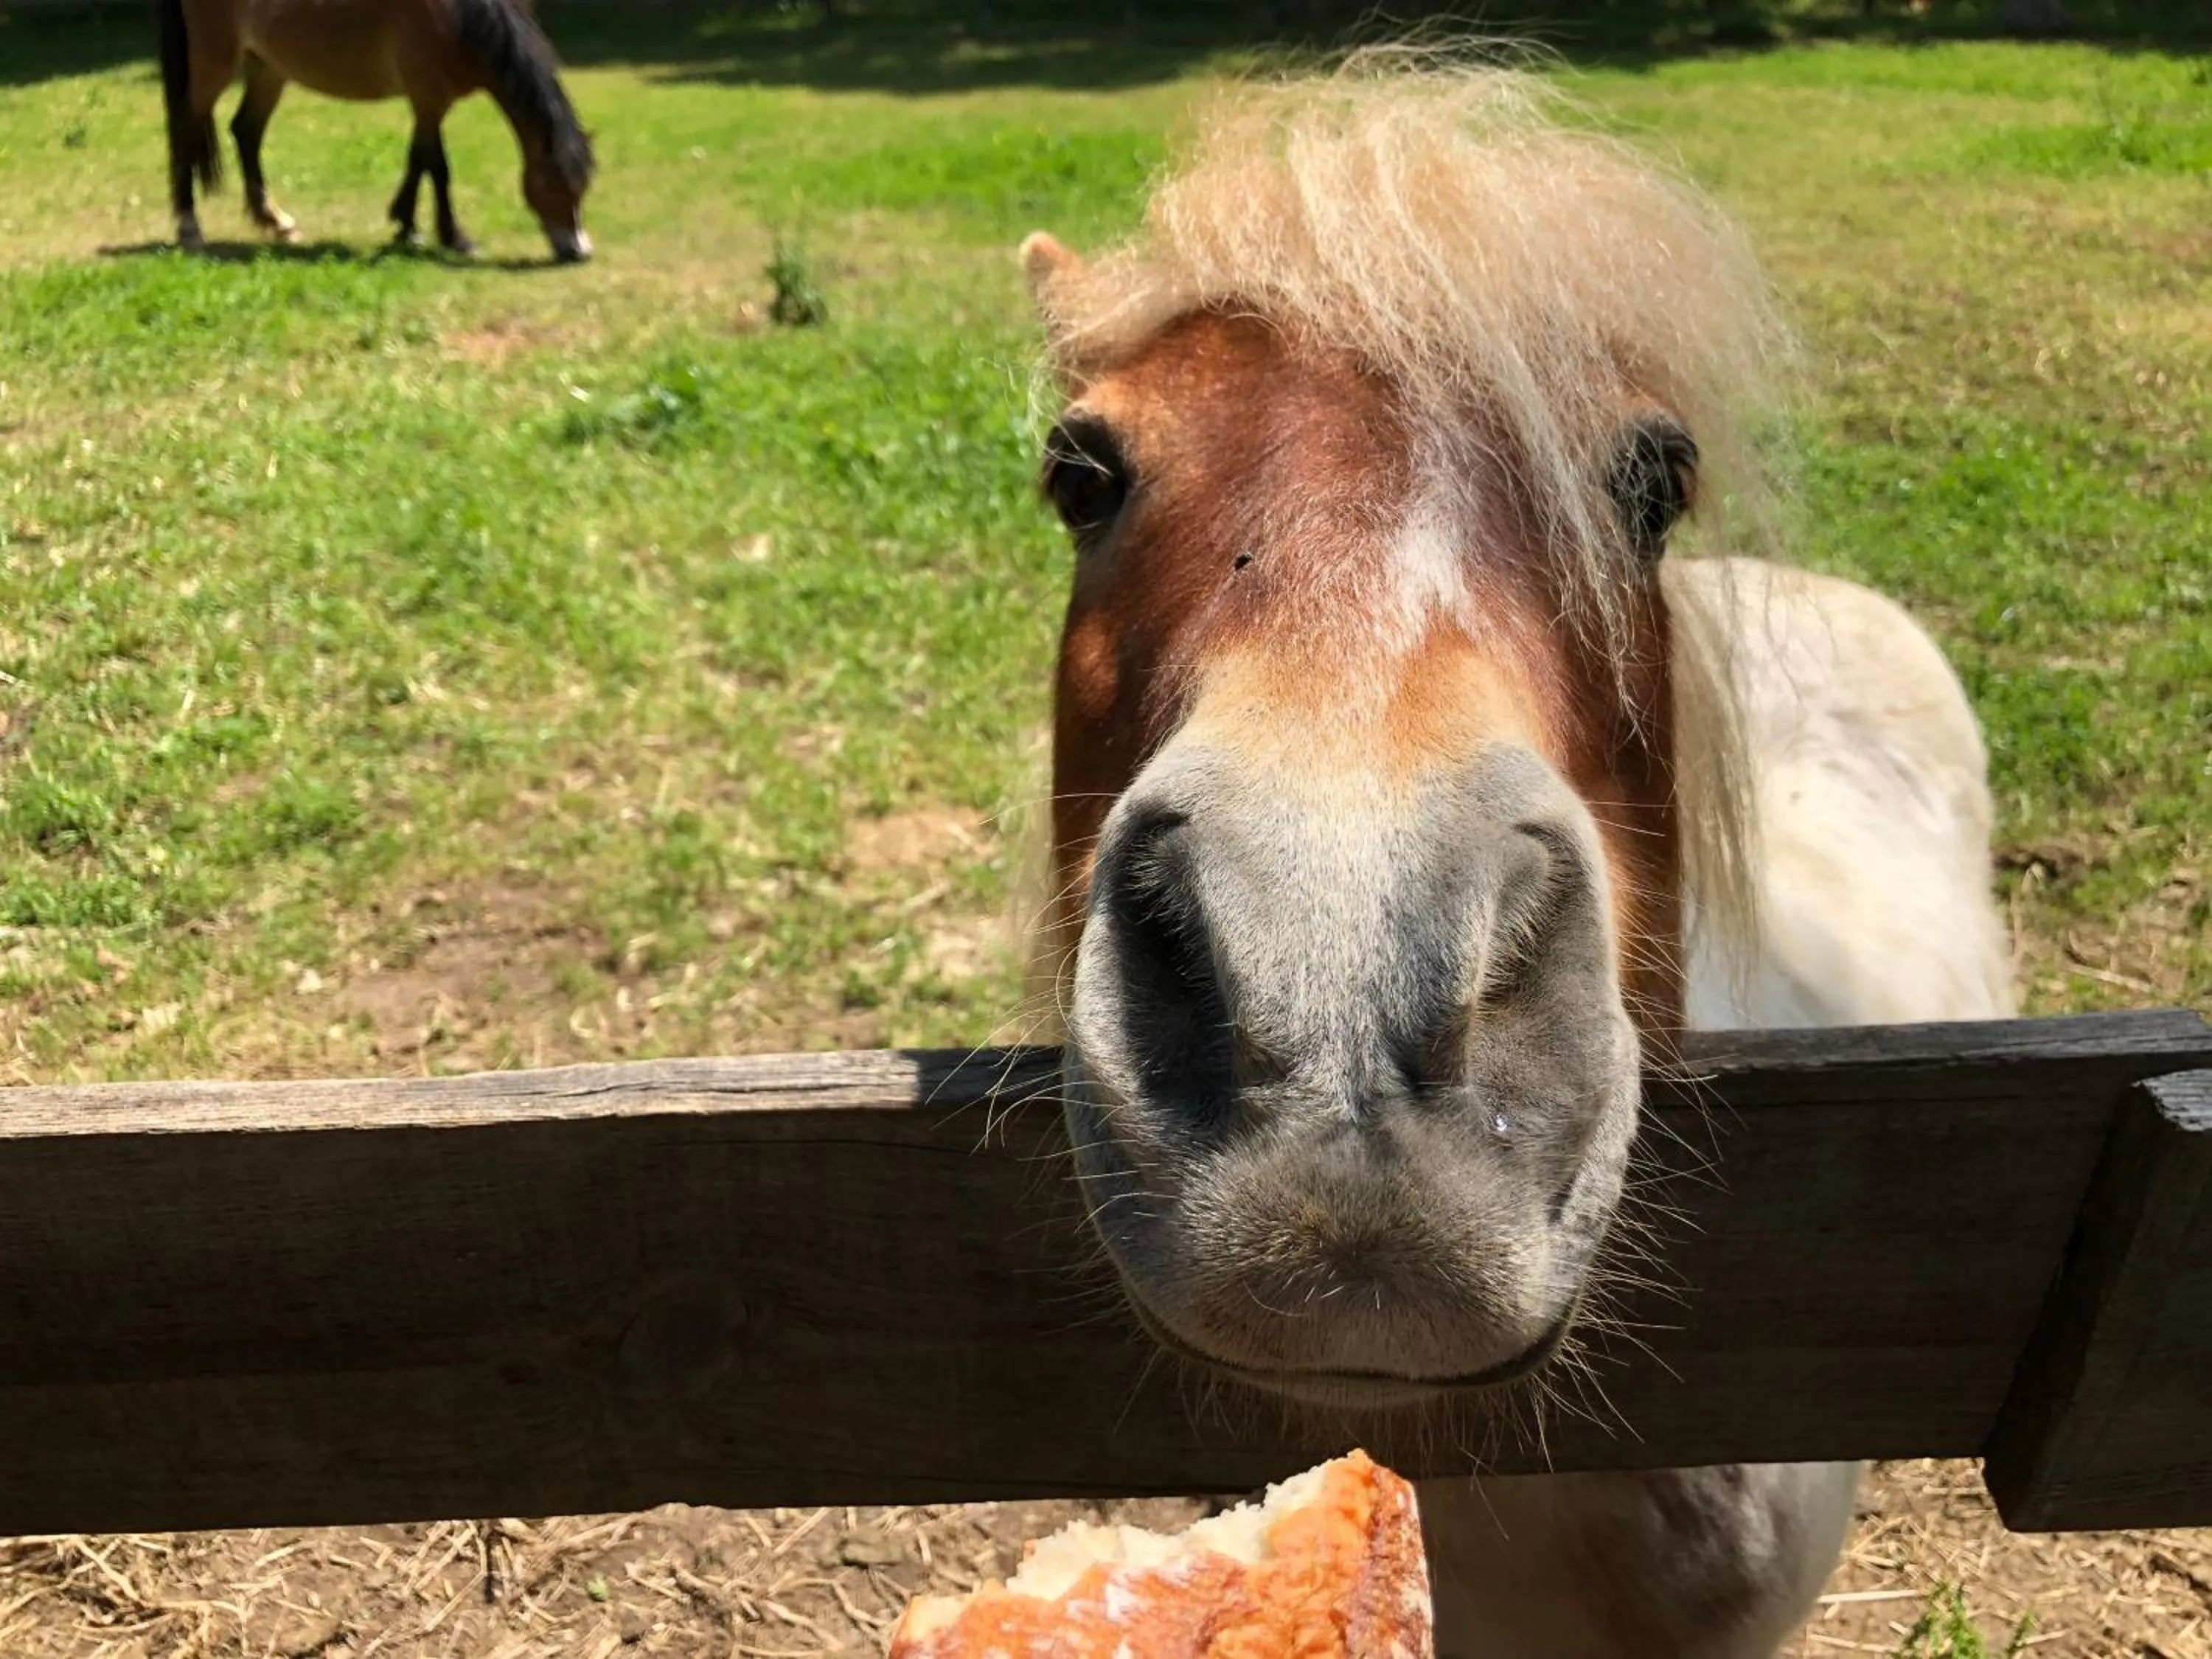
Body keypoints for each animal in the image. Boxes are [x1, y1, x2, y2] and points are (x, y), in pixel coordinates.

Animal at [155, 0, 595, 262]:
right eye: (553, 183)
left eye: (583, 186)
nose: (580, 250)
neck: (459, 16)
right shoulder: (428, 96)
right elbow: (438, 167)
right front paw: (455, 237)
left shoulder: (429, 103)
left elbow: (418, 160)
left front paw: (407, 226)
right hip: (214, 62)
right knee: (186, 132)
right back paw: (190, 227)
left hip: (268, 67)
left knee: (246, 132)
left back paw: (277, 221)